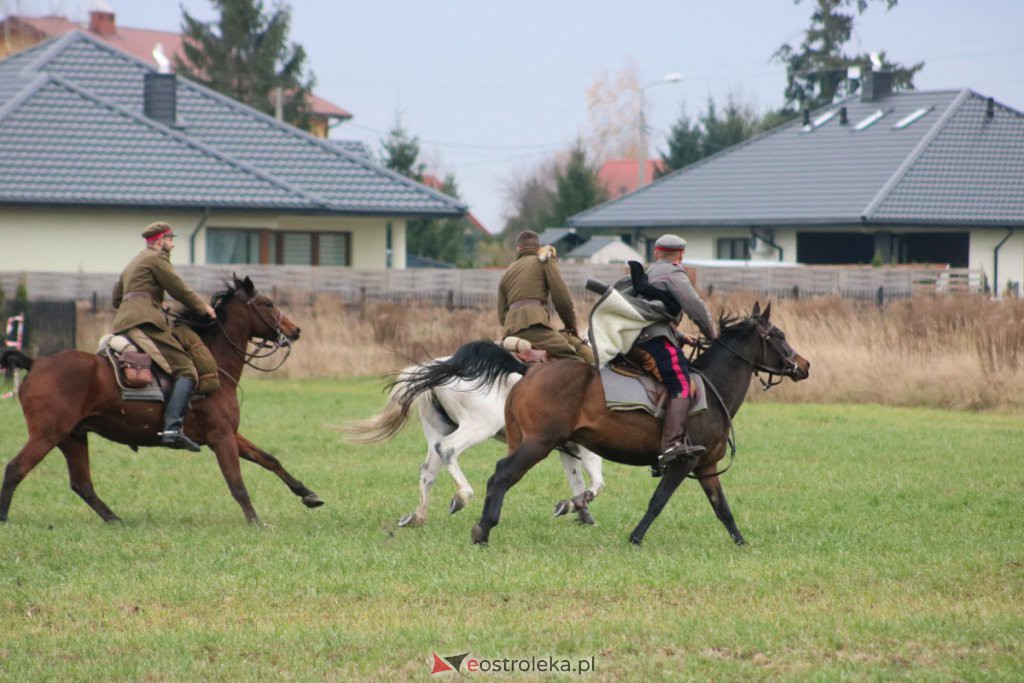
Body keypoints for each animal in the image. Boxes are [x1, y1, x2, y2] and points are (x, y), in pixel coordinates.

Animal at [0, 274, 321, 528]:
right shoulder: (221, 438)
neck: (215, 362)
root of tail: (35, 363)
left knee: (82, 484)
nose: (295, 330)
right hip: (47, 435)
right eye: (267, 304)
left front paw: (307, 494)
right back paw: (4, 518)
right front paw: (255, 522)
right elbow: (237, 484)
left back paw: (116, 520)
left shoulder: (230, 435)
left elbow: (269, 459)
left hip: (73, 436)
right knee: (15, 469)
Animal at [346, 339, 598, 528]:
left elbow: (577, 480)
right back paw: (461, 496)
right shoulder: (585, 448)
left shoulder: (566, 448)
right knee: (448, 449)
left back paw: (418, 516)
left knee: (428, 469)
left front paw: (579, 511)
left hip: (438, 429)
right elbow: (596, 480)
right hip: (478, 426)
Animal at [468, 303, 806, 544]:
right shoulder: (684, 462)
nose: (804, 365)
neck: (712, 390)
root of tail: (529, 370)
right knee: (502, 475)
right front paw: (635, 537)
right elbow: (658, 501)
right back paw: (483, 529)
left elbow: (722, 508)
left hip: (522, 440)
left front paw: (741, 542)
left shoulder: (706, 466)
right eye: (778, 335)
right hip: (538, 444)